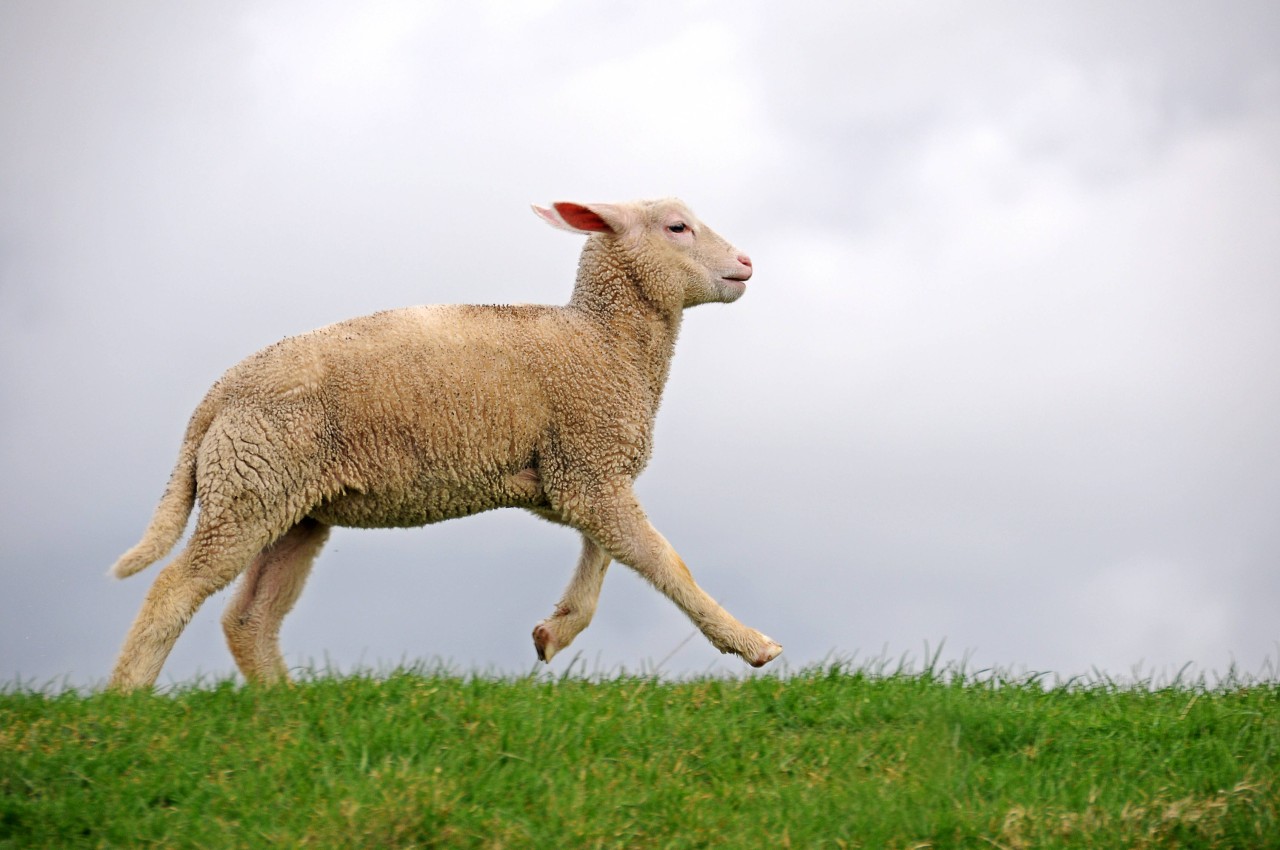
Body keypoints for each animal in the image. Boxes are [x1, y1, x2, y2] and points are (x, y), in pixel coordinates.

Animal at [107, 199, 778, 691]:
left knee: (249, 617)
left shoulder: (580, 473)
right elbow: (662, 561)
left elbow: (609, 557)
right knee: (175, 589)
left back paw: (287, 706)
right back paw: (126, 703)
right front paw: (752, 646)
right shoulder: (586, 465)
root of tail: (216, 397)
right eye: (677, 226)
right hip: (250, 485)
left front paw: (554, 633)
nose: (746, 263)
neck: (603, 339)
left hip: (292, 506)